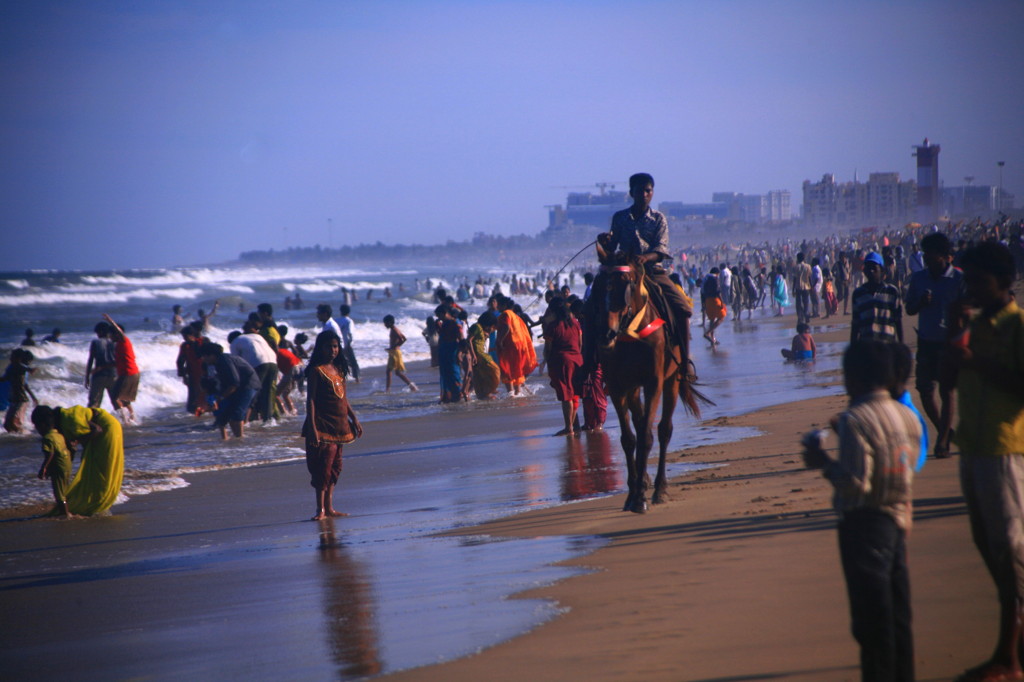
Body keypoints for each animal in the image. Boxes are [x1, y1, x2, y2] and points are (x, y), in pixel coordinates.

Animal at [593, 251, 704, 512]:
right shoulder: (618, 387)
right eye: (598, 285)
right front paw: (633, 493)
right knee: (640, 420)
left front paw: (641, 497)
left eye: (627, 283)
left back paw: (660, 488)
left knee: (663, 430)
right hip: (633, 388)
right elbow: (629, 438)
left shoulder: (654, 382)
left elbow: (646, 436)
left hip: (672, 380)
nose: (606, 334)